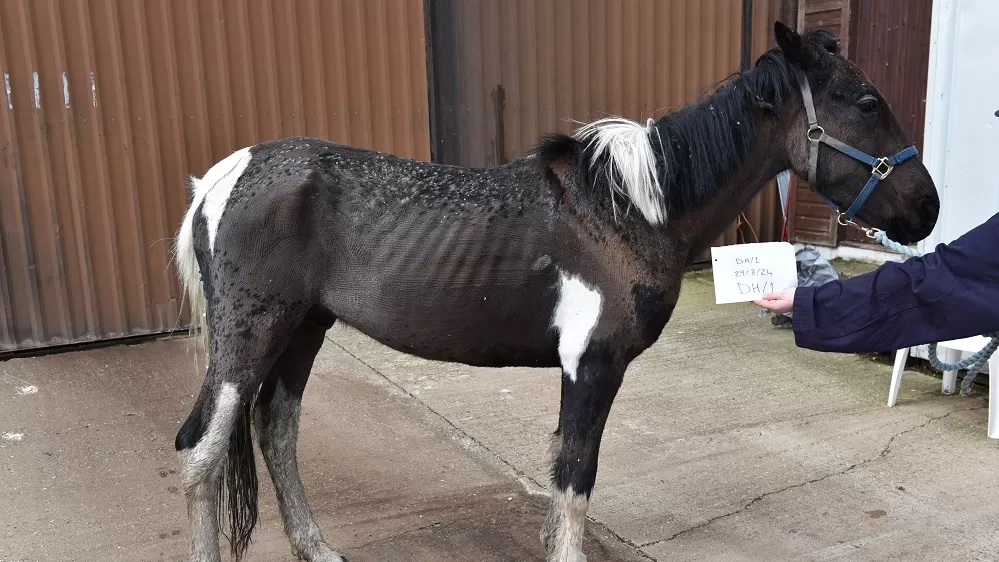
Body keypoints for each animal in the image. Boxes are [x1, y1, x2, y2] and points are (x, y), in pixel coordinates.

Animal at [174, 21, 944, 560]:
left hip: (303, 328)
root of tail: (220, 178)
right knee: (202, 453)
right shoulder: (590, 367)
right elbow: (575, 484)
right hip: (252, 335)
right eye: (865, 101)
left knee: (275, 432)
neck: (627, 211)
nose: (927, 208)